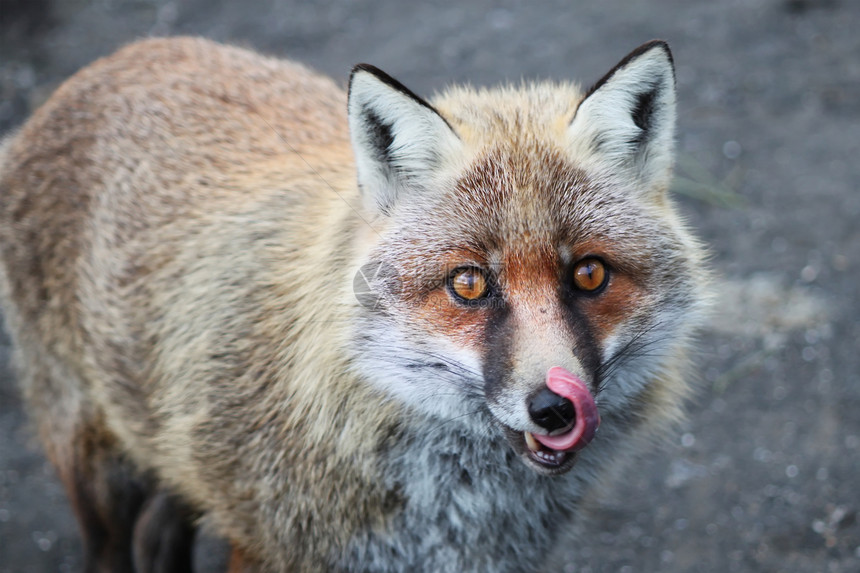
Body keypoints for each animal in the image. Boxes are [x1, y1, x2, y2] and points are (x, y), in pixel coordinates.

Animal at [0, 36, 708, 572]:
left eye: (588, 274)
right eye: (469, 284)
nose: (555, 408)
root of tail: (122, 56)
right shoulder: (270, 546)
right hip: (98, 467)